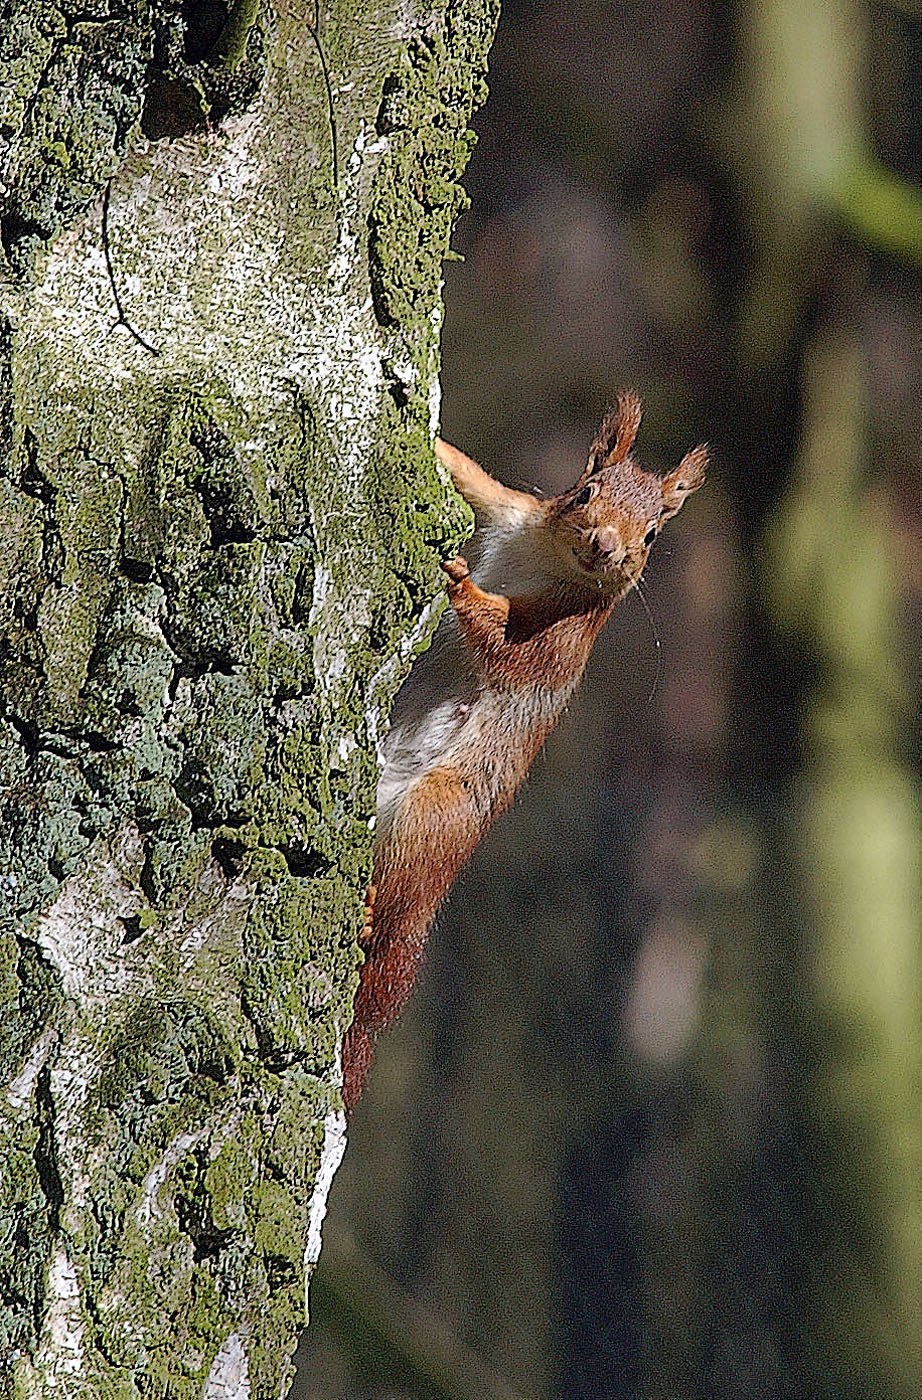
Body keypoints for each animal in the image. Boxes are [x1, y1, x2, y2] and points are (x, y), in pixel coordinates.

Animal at [341, 392, 707, 1103]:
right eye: (586, 491)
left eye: (653, 534)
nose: (605, 546)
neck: (550, 558)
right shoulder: (510, 510)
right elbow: (467, 474)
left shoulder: (559, 640)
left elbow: (506, 648)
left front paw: (458, 582)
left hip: (436, 812)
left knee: (400, 898)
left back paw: (373, 916)